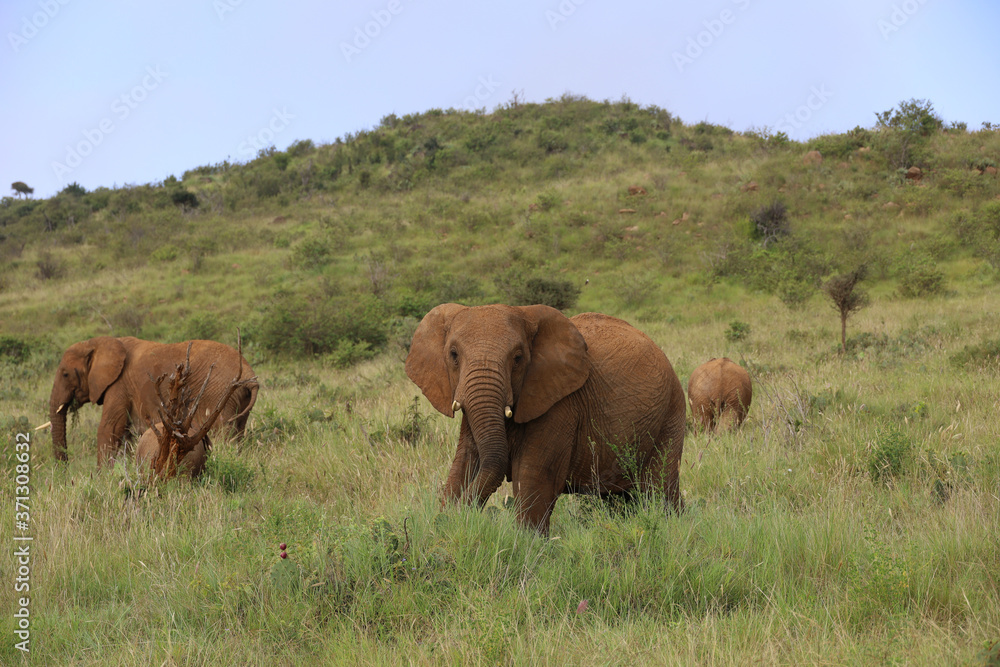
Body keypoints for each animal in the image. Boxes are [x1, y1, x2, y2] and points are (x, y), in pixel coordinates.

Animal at [46, 336, 258, 467]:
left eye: (65, 374)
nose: (64, 470)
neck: (98, 342)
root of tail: (250, 375)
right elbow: (125, 436)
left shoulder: (119, 386)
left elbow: (109, 428)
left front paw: (101, 477)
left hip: (219, 394)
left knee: (221, 436)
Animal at [405, 303, 686, 534]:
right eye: (453, 355)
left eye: (518, 358)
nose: (465, 518)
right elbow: (463, 465)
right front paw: (446, 523)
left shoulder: (560, 405)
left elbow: (534, 475)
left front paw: (526, 546)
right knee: (620, 498)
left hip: (671, 412)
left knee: (659, 488)